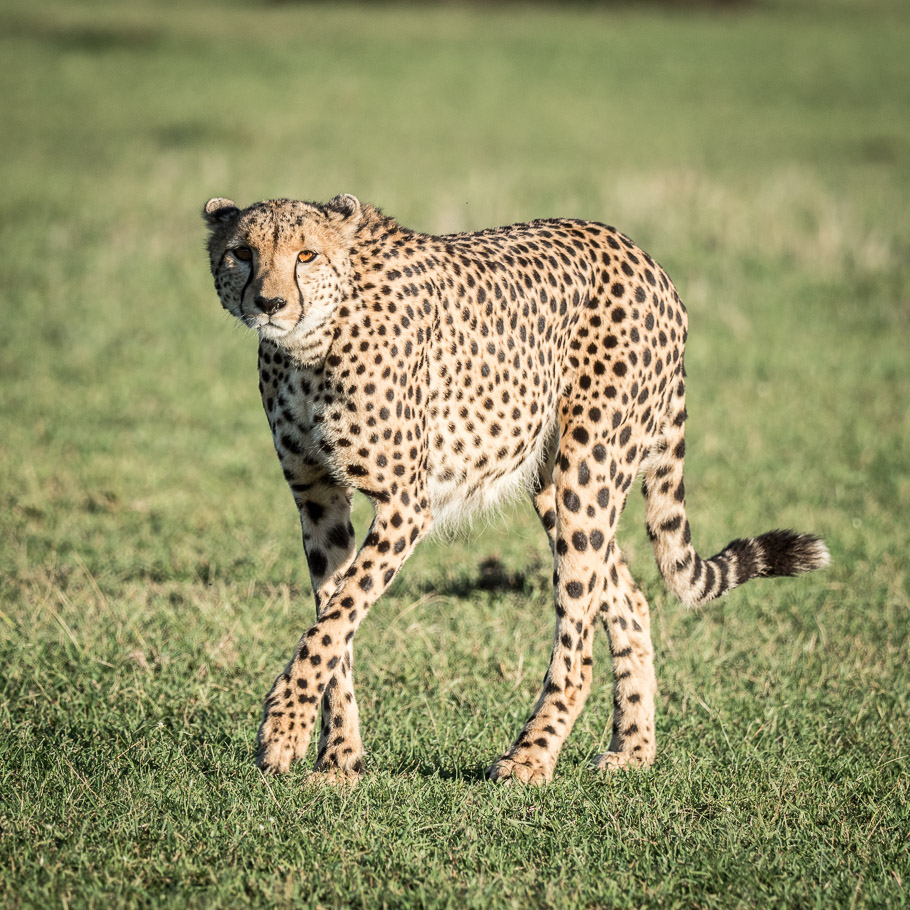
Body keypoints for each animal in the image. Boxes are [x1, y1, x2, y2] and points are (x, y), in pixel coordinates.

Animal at [203, 193, 829, 784]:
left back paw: (530, 758)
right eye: (242, 253)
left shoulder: (406, 502)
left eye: (306, 255)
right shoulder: (317, 497)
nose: (269, 304)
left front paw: (285, 725)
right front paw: (338, 760)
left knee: (578, 644)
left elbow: (337, 616)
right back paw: (633, 751)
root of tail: (641, 255)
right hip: (552, 482)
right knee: (628, 599)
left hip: (590, 469)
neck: (311, 347)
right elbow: (334, 623)